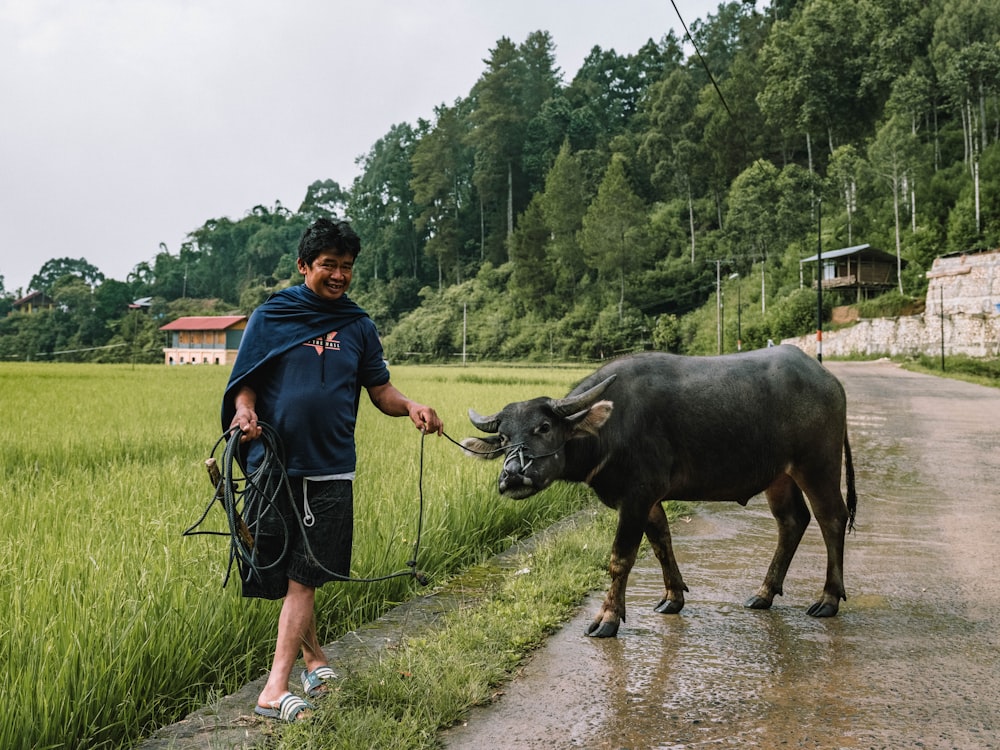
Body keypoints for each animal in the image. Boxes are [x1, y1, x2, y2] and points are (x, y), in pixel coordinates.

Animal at [464, 348, 856, 640]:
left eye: (543, 427)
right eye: (503, 437)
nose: (513, 476)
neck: (609, 428)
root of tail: (829, 380)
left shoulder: (636, 497)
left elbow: (621, 558)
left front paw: (607, 618)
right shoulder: (649, 501)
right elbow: (661, 543)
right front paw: (672, 597)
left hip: (817, 464)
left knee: (832, 518)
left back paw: (828, 599)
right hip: (779, 476)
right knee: (792, 521)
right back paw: (764, 593)